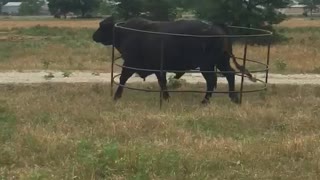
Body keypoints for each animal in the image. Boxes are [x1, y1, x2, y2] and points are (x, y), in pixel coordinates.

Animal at [92, 16, 255, 105]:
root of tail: (215, 25)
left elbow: (123, 78)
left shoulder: (131, 63)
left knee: (212, 80)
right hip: (221, 61)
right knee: (230, 75)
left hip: (207, 65)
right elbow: (162, 82)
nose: (94, 36)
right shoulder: (158, 68)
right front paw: (166, 98)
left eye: (102, 27)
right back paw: (234, 97)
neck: (126, 32)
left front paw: (116, 97)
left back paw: (205, 101)